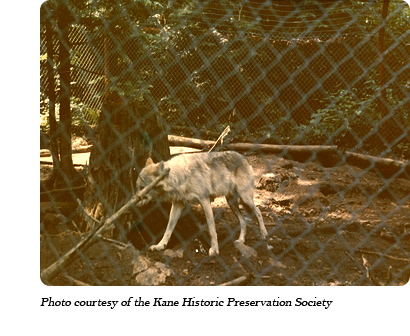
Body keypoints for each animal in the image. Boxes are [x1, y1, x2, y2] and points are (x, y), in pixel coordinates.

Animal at [136, 151, 268, 256]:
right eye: (138, 186)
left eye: (142, 188)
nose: (134, 199)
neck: (180, 177)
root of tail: (244, 157)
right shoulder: (178, 204)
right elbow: (169, 227)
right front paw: (160, 246)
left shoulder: (204, 200)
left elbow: (211, 228)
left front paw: (214, 250)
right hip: (232, 203)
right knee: (243, 220)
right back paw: (241, 241)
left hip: (245, 199)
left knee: (258, 211)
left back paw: (264, 234)